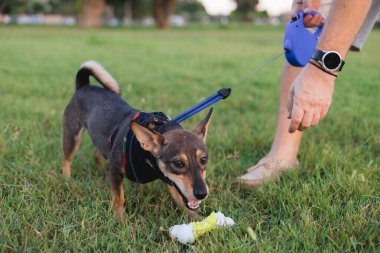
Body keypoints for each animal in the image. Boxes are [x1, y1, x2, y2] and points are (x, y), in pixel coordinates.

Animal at [60, 61, 212, 219]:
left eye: (204, 159)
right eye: (178, 163)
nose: (202, 194)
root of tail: (84, 85)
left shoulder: (171, 182)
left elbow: (183, 202)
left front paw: (197, 219)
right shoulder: (116, 170)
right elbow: (119, 198)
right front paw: (121, 219)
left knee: (97, 153)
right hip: (72, 137)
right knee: (66, 161)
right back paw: (68, 180)